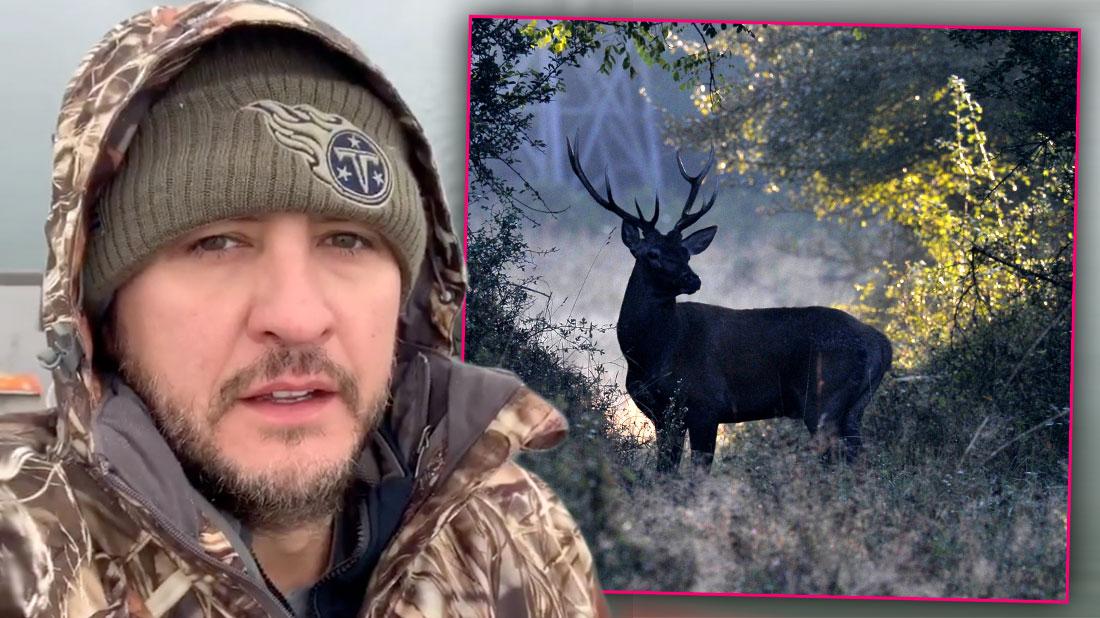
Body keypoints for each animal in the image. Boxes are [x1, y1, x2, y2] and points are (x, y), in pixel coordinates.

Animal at [566, 136, 892, 472]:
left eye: (685, 252)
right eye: (653, 254)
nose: (693, 279)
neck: (652, 353)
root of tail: (883, 344)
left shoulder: (706, 404)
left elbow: (697, 472)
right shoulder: (662, 415)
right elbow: (665, 471)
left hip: (823, 397)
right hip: (855, 405)